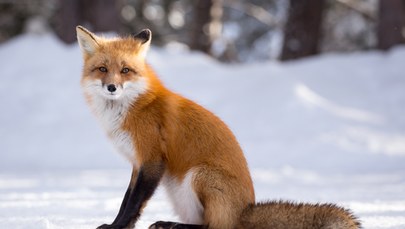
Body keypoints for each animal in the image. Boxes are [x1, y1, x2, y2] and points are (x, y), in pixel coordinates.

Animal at [76, 26, 360, 228]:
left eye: (125, 70)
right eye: (103, 69)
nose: (112, 87)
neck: (133, 107)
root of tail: (245, 210)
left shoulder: (152, 159)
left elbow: (133, 203)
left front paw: (118, 227)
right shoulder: (138, 162)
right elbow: (126, 200)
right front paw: (116, 224)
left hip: (200, 175)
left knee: (215, 226)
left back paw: (173, 226)